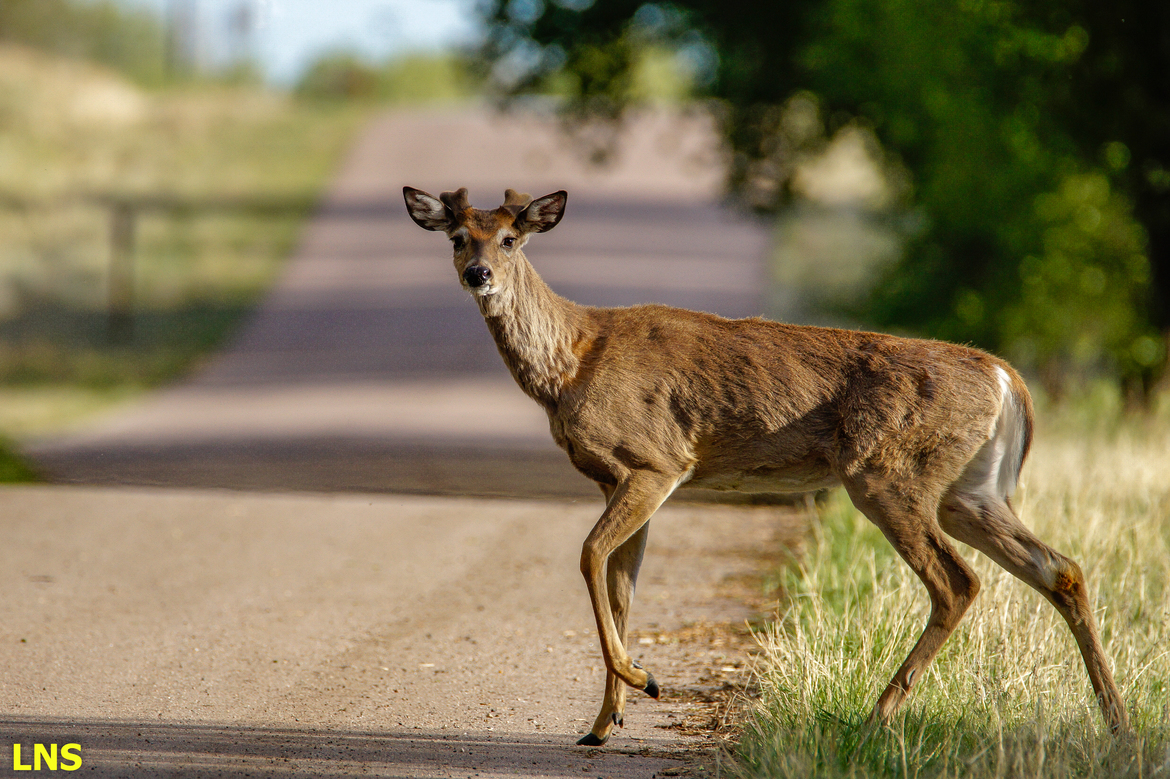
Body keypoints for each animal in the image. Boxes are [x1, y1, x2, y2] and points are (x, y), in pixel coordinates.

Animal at [402, 185, 1128, 746]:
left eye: (511, 239)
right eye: (458, 238)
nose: (477, 276)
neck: (573, 361)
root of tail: (1008, 378)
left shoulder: (656, 460)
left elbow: (589, 555)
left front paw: (643, 680)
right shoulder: (620, 478)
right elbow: (621, 582)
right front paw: (604, 723)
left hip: (889, 474)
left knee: (958, 581)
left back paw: (875, 718)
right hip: (972, 489)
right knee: (1060, 568)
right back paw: (1117, 723)